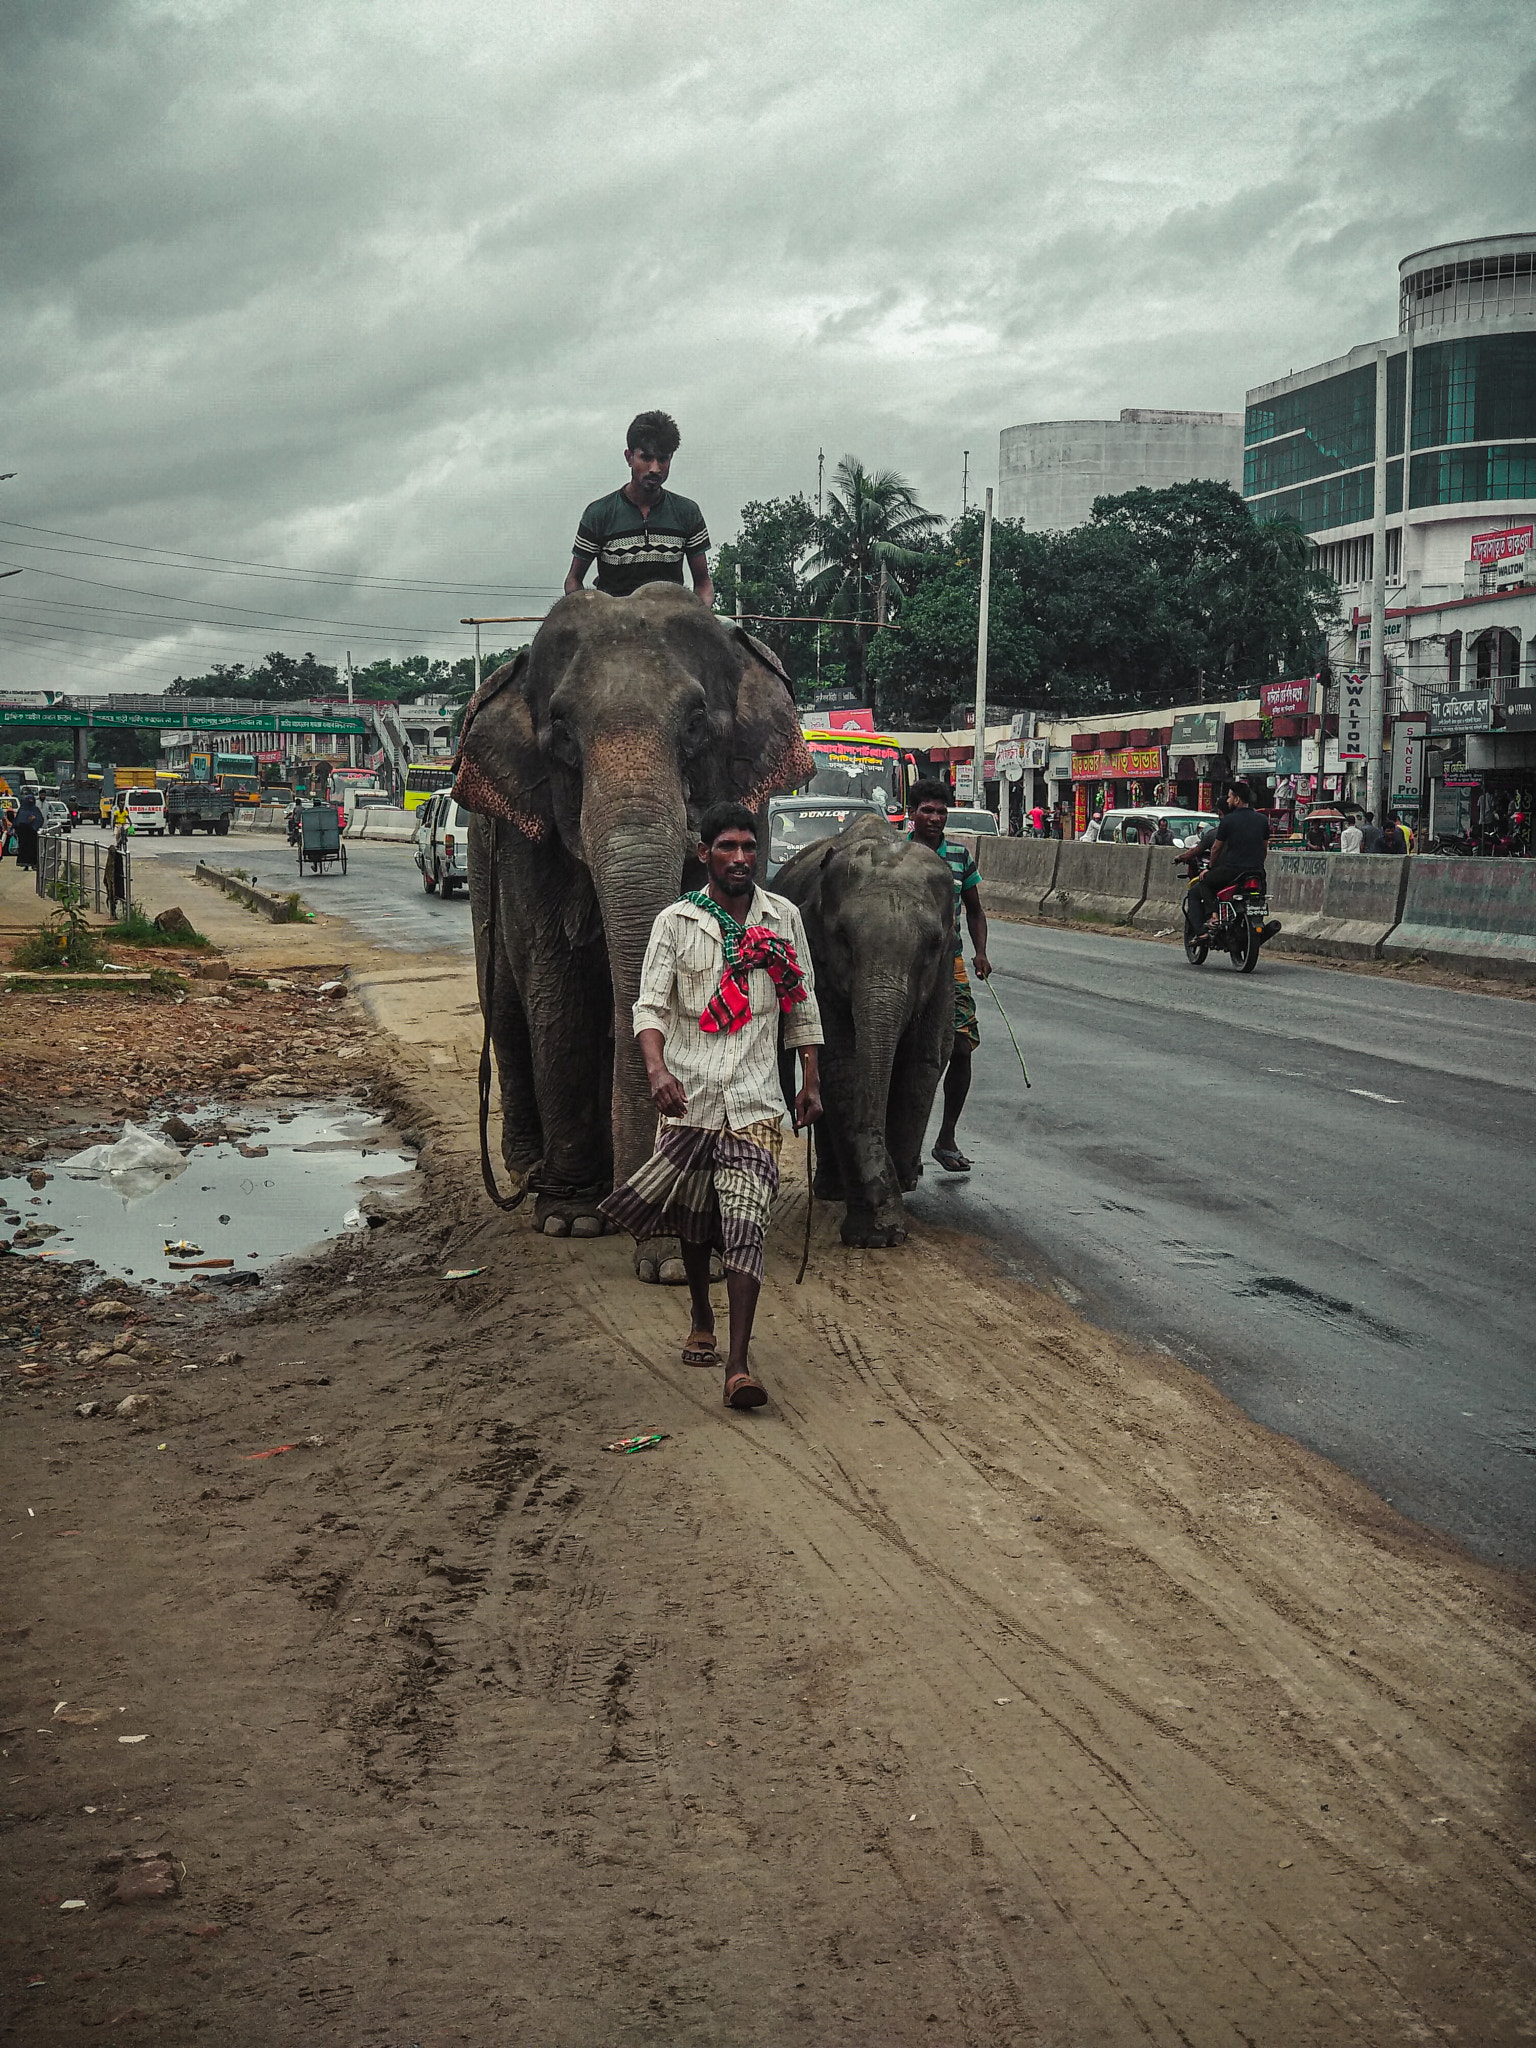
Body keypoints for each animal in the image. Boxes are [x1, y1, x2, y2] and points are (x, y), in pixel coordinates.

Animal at [454, 585, 819, 1269]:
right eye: (561, 732)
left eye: (697, 723)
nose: (637, 1221)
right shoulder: (523, 845)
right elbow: (558, 986)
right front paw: (572, 1218)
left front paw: (682, 1245)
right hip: (481, 856)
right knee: (508, 1008)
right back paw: (531, 1175)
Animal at [774, 815, 958, 1245]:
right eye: (842, 938)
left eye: (932, 944)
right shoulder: (814, 954)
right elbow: (840, 1061)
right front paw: (878, 1235)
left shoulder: (945, 967)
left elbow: (924, 1058)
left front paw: (900, 1187)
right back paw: (830, 1188)